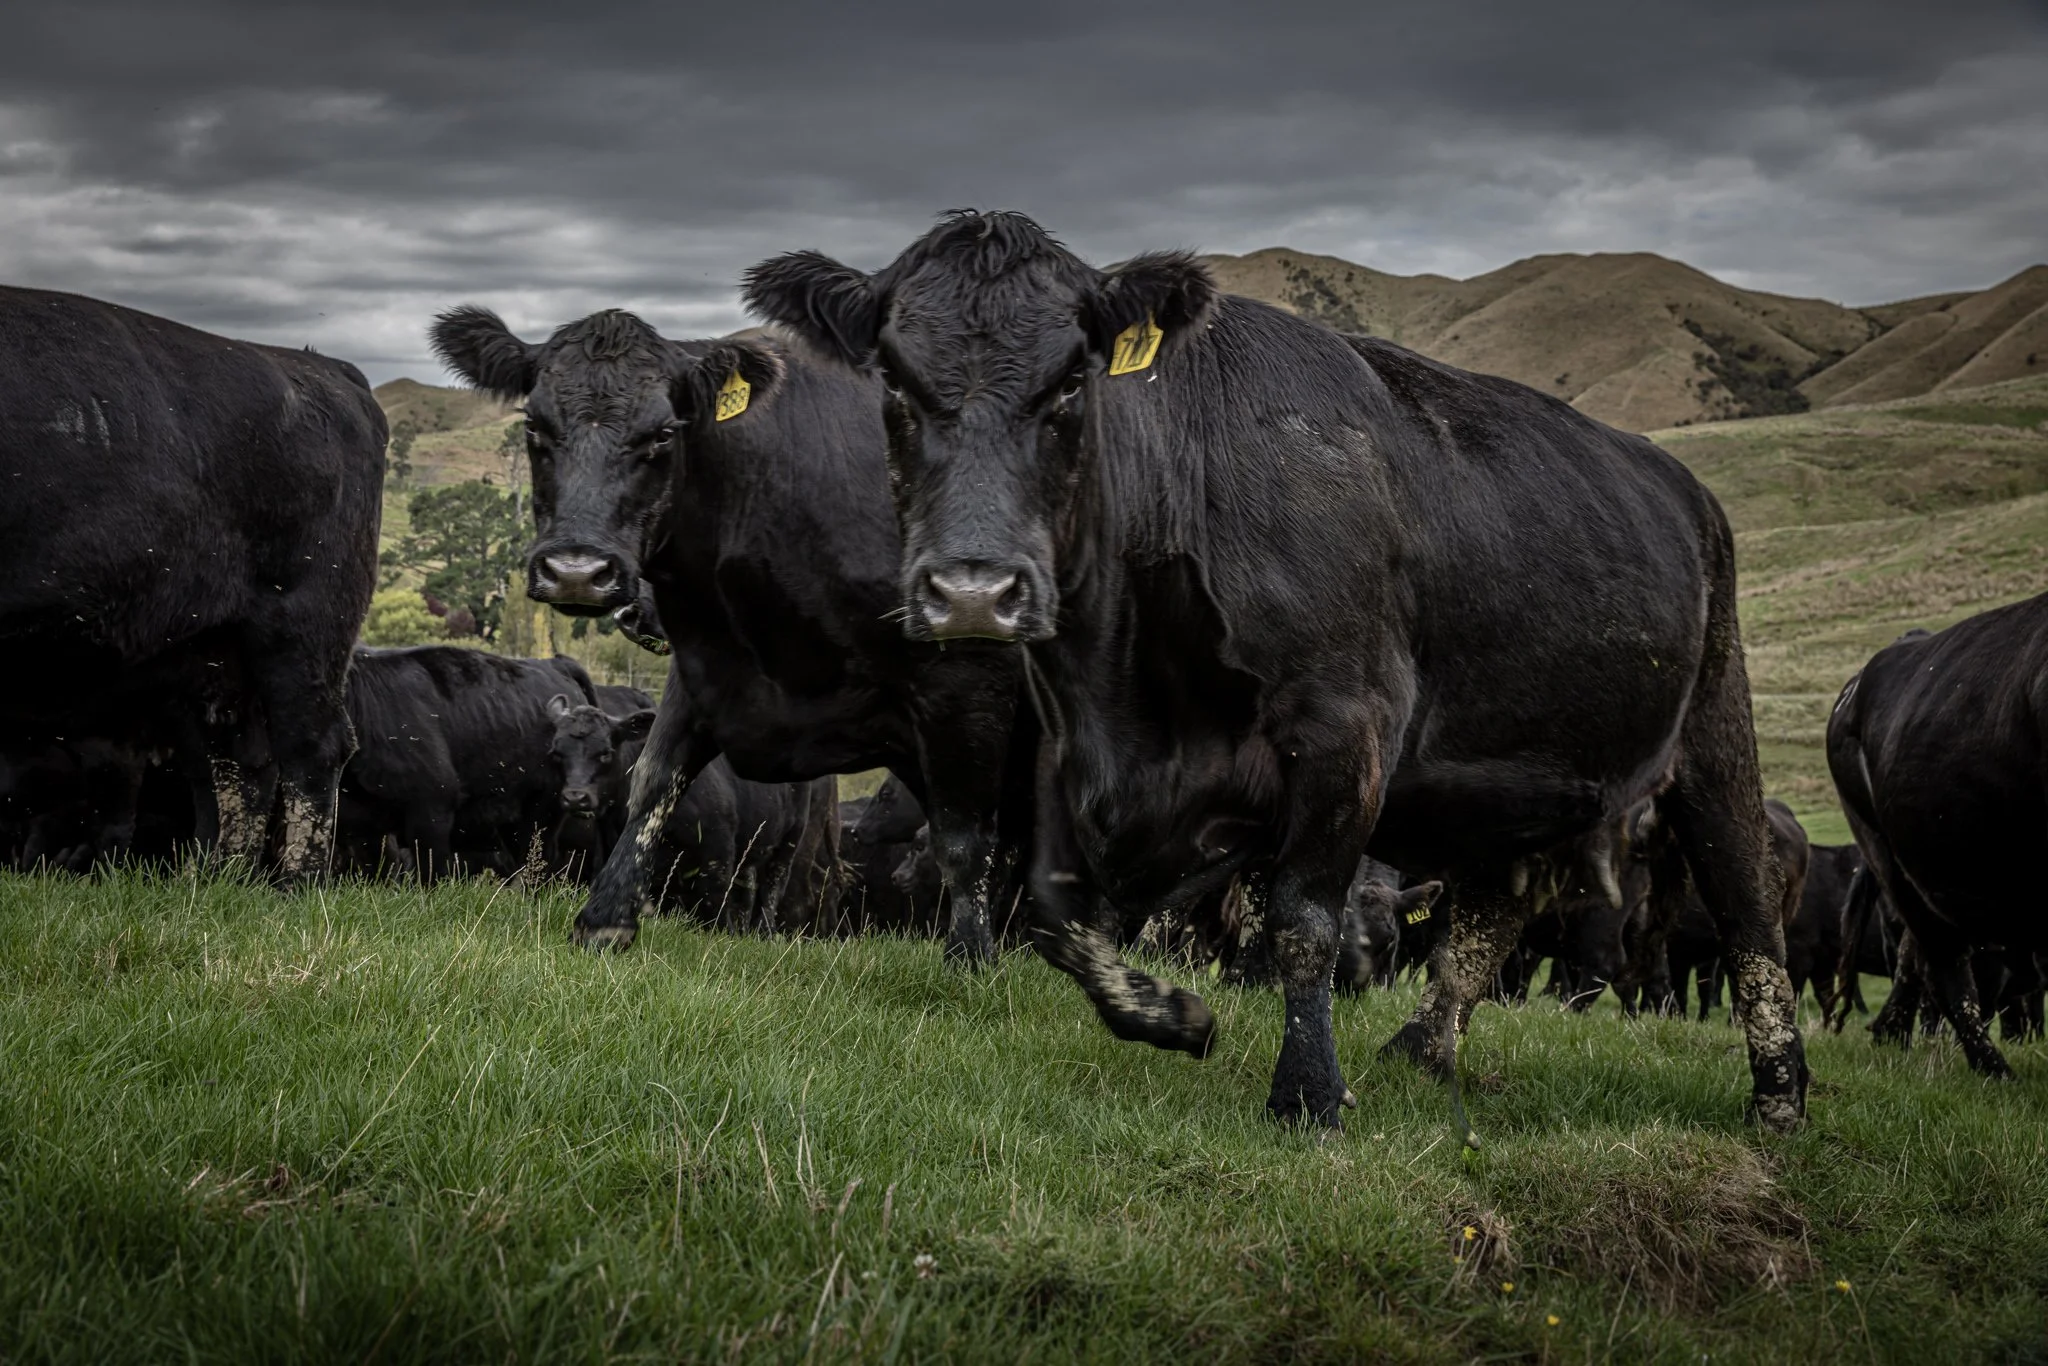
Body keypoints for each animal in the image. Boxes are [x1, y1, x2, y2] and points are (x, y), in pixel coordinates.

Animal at [0, 287, 383, 877]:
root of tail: (323, 368)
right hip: (217, 647)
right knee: (240, 761)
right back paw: (218, 879)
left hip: (303, 627)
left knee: (313, 747)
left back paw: (298, 880)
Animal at [427, 309, 1032, 964]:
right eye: (534, 425)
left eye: (663, 434)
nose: (577, 573)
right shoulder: (706, 667)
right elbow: (654, 781)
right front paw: (604, 919)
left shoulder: (962, 684)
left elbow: (964, 834)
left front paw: (972, 959)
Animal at [744, 209, 1807, 1132]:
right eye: (893, 384)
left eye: (1072, 383)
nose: (973, 592)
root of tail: (1686, 488)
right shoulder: (1085, 751)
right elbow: (1059, 915)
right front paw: (1171, 1015)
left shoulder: (1344, 727)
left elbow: (1301, 922)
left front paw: (1309, 1095)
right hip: (1522, 769)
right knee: (1496, 899)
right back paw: (1425, 1048)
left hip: (1715, 727)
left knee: (1747, 902)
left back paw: (1781, 1095)